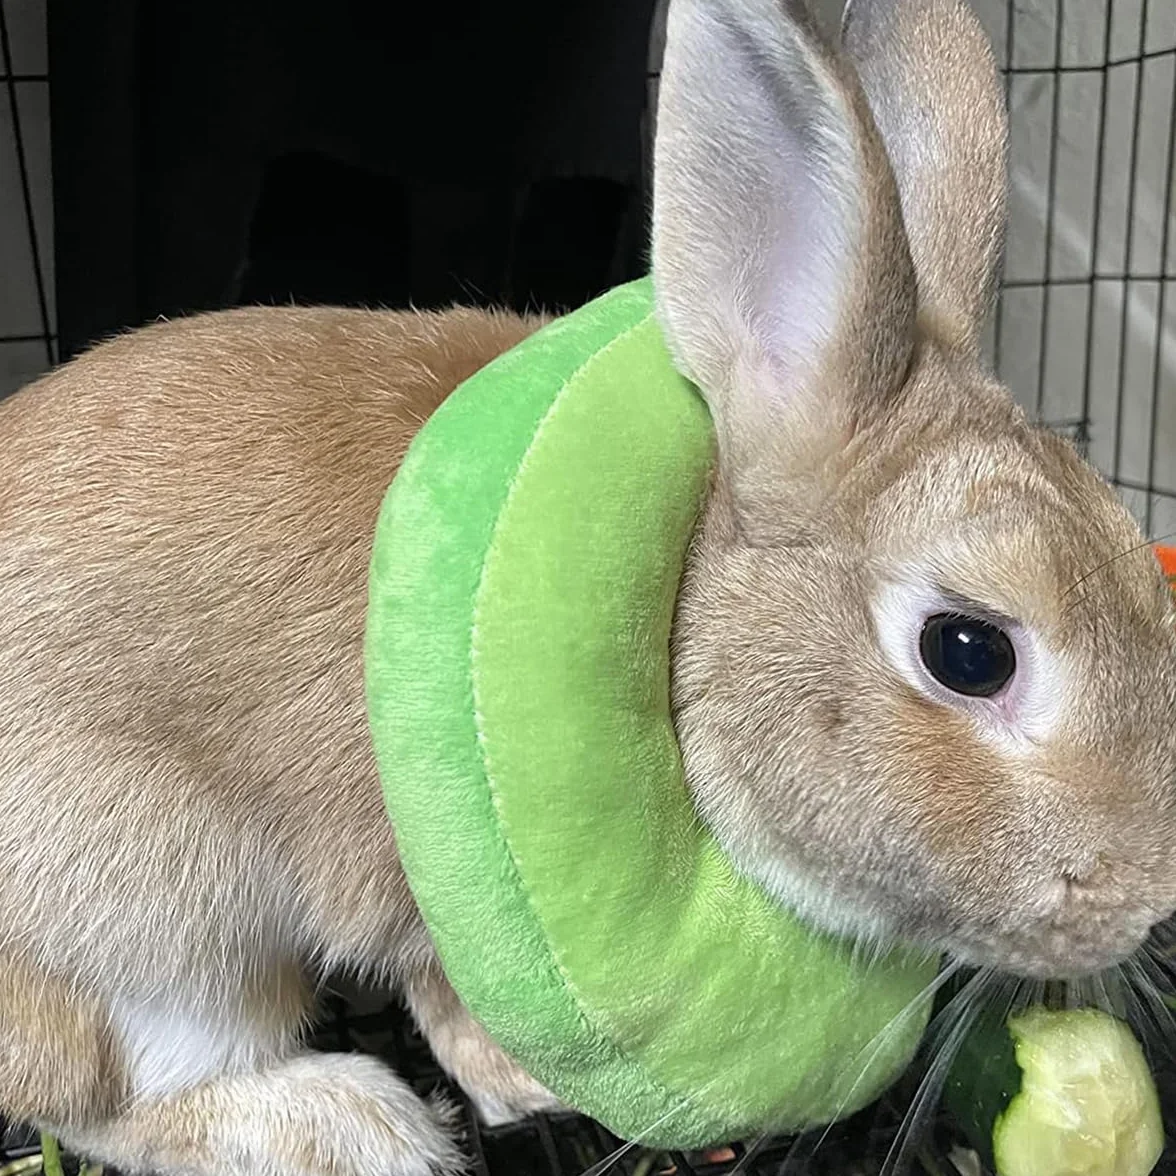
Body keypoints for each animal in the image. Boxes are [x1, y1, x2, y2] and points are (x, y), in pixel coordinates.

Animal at [1, 0, 1175, 1173]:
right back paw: (358, 1123)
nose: (1151, 902)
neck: (684, 614)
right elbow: (441, 984)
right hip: (163, 912)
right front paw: (517, 1086)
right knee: (108, 1091)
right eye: (969, 651)